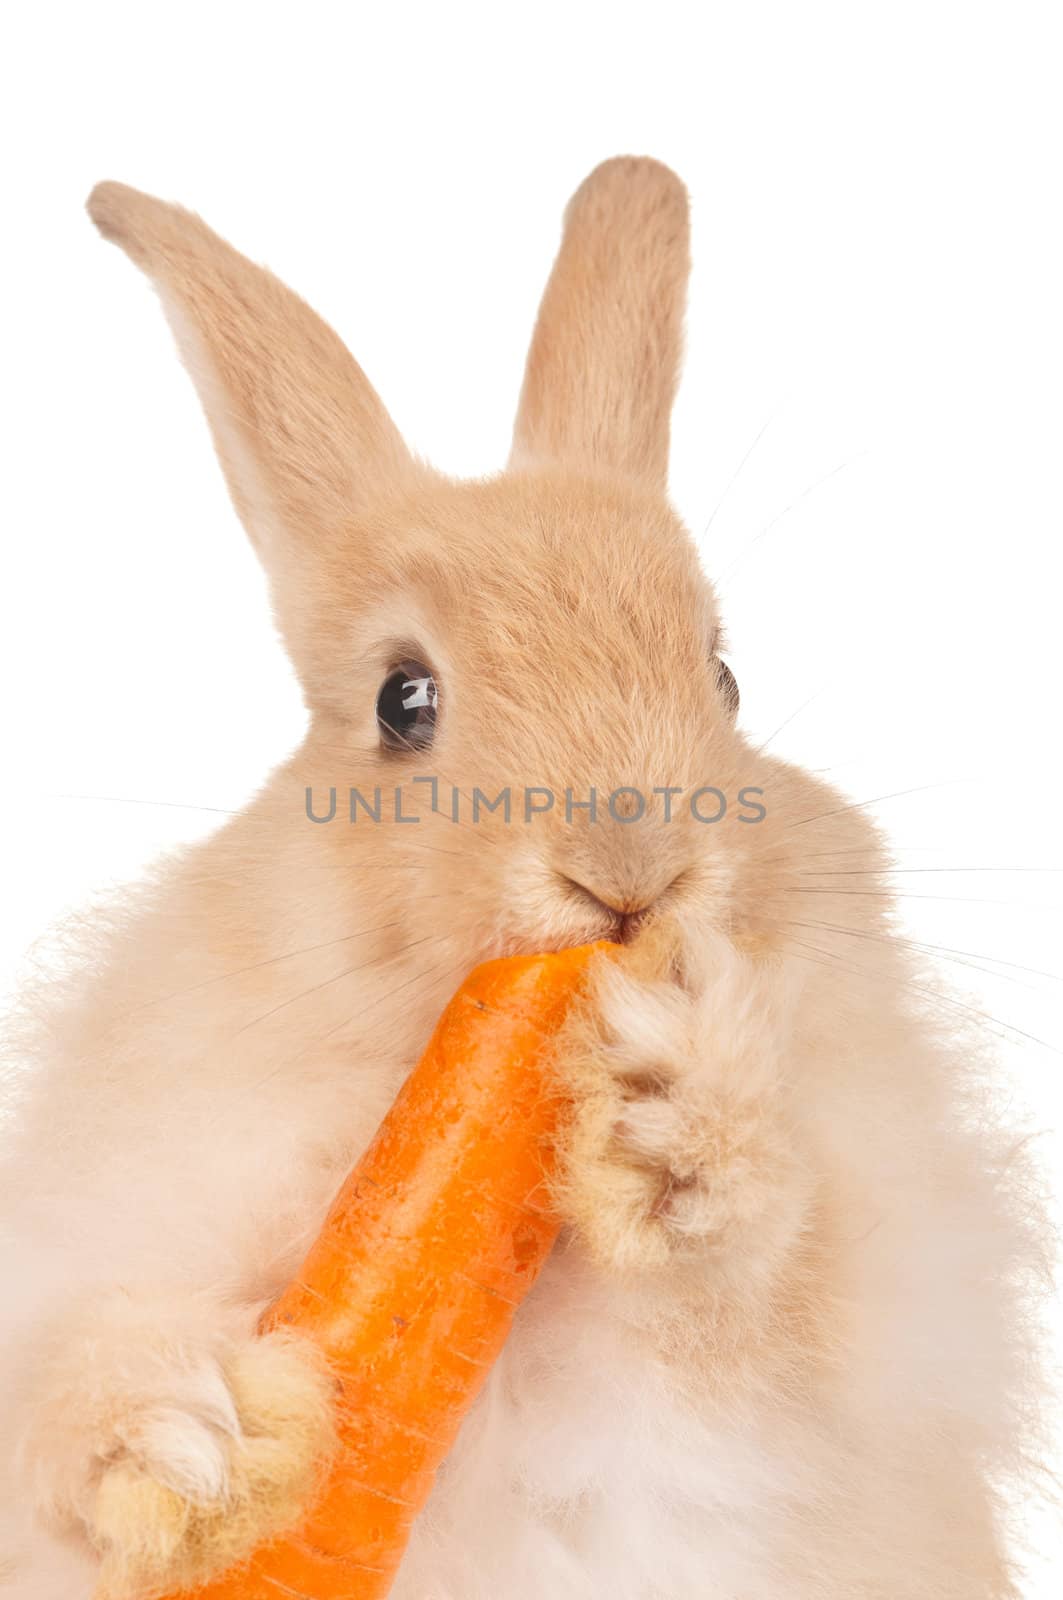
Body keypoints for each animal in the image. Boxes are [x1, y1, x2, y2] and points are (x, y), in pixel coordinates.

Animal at [0, 159, 1050, 1600]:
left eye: (722, 677)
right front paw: (185, 1432)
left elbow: (740, 1320)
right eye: (403, 701)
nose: (630, 876)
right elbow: (65, 1397)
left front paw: (674, 1109)